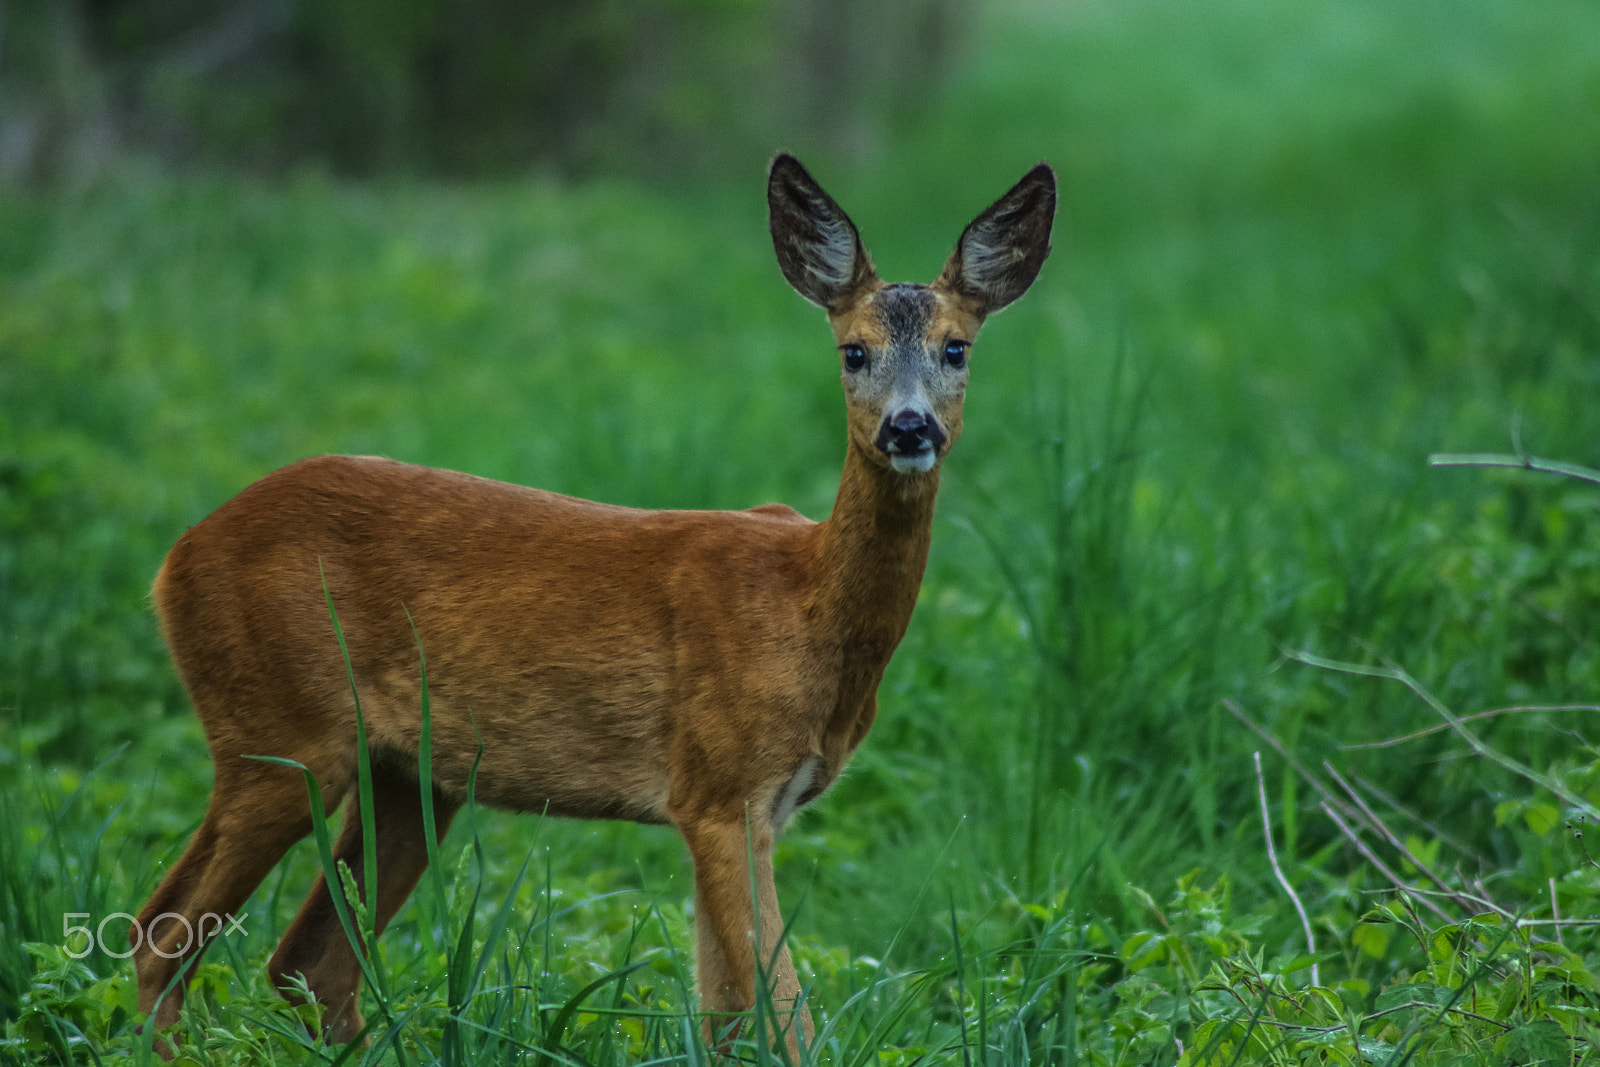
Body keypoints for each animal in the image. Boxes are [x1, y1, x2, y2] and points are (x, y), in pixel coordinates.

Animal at [134, 154, 1049, 1055]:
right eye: (853, 351)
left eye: (957, 347)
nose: (909, 428)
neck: (806, 607)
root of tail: (176, 558)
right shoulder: (719, 781)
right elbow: (784, 1016)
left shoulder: (734, 804)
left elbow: (725, 1013)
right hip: (279, 730)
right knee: (162, 937)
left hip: (407, 774)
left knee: (307, 966)